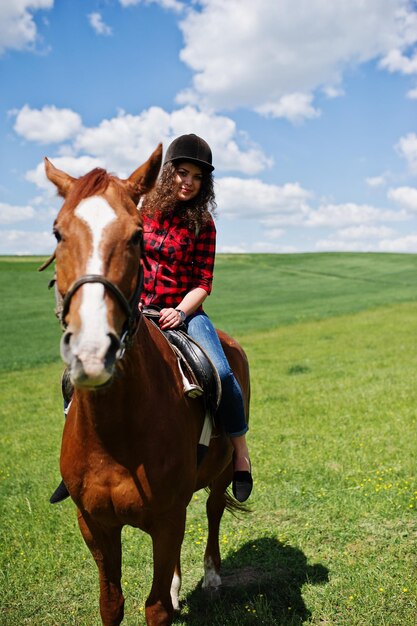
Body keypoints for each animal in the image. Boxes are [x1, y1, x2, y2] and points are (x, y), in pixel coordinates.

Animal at [43, 144, 249, 620]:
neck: (115, 433)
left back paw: (212, 576)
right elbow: (112, 603)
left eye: (137, 236)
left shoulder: (166, 518)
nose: (92, 351)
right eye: (58, 233)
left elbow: (155, 610)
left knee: (214, 510)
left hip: (220, 473)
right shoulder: (94, 524)